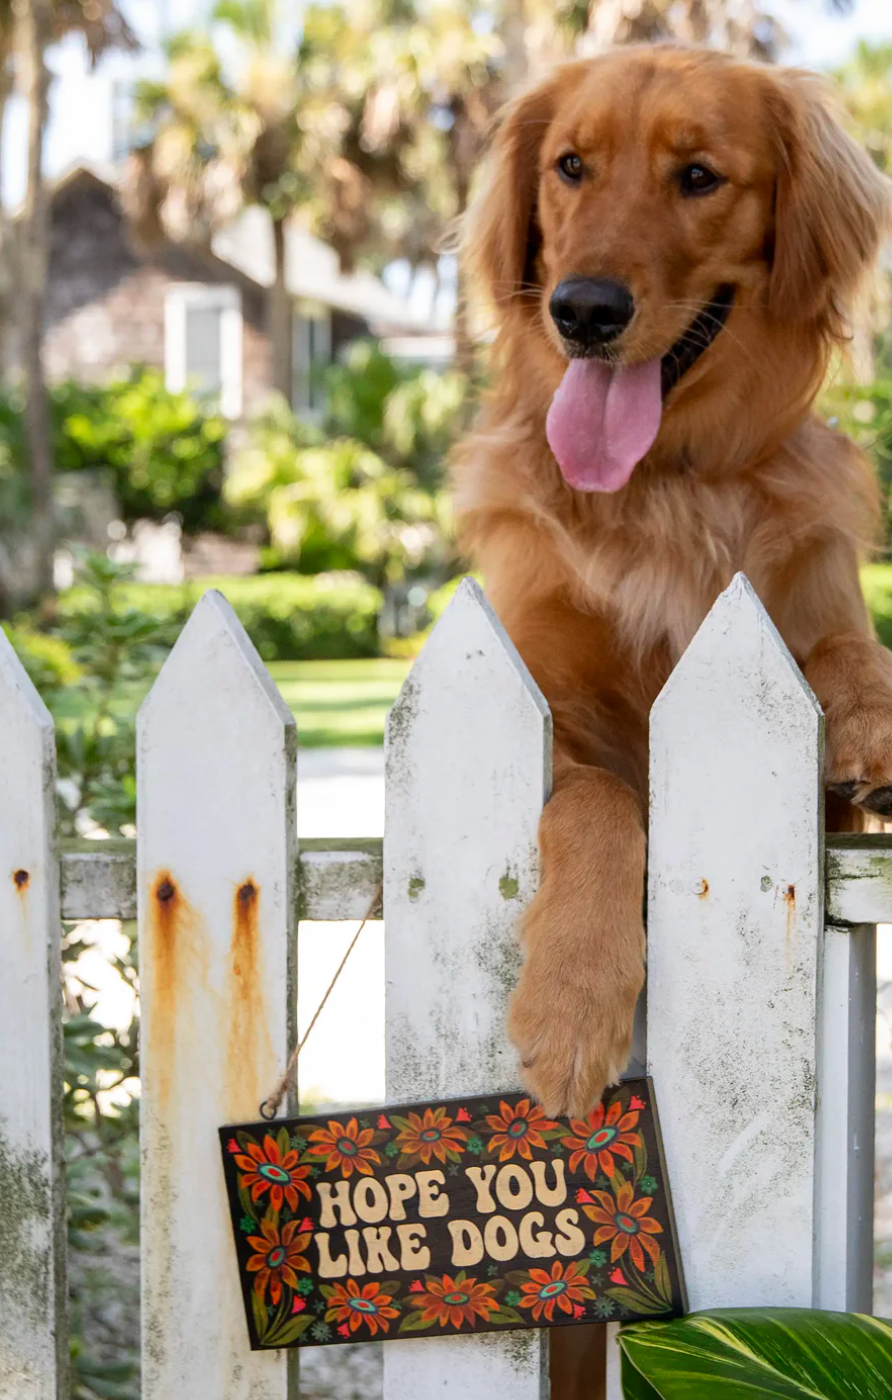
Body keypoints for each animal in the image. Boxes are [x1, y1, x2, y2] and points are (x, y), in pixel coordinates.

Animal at [450, 46, 890, 1136]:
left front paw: (873, 715)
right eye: (570, 166)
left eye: (698, 176)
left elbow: (843, 645)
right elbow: (601, 795)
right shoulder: (546, 707)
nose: (583, 310)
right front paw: (571, 1004)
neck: (663, 487)